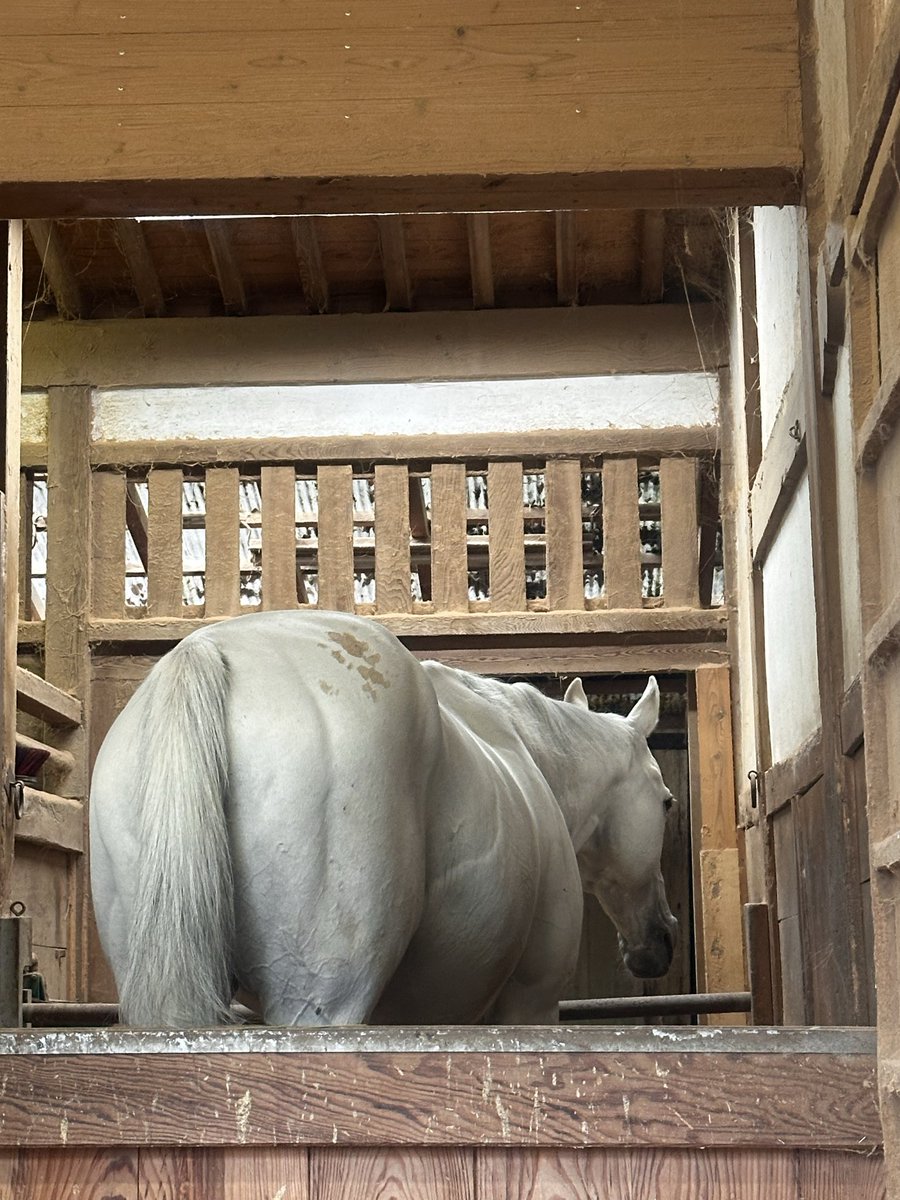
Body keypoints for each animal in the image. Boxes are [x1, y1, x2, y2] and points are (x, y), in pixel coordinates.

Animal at [89, 609, 677, 1028]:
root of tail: (207, 652)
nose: (659, 941)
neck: (527, 753)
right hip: (321, 1004)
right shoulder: (530, 1000)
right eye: (667, 800)